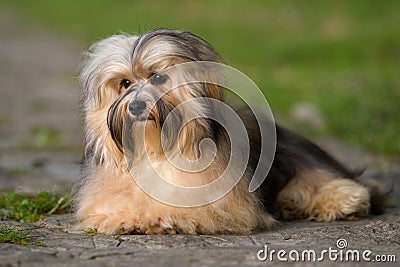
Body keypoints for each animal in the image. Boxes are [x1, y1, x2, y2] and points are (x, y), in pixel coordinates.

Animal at [73, 28, 386, 236]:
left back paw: (343, 201)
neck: (158, 148)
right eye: (124, 83)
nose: (136, 106)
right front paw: (124, 217)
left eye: (159, 77)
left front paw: (155, 218)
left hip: (299, 159)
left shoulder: (221, 203)